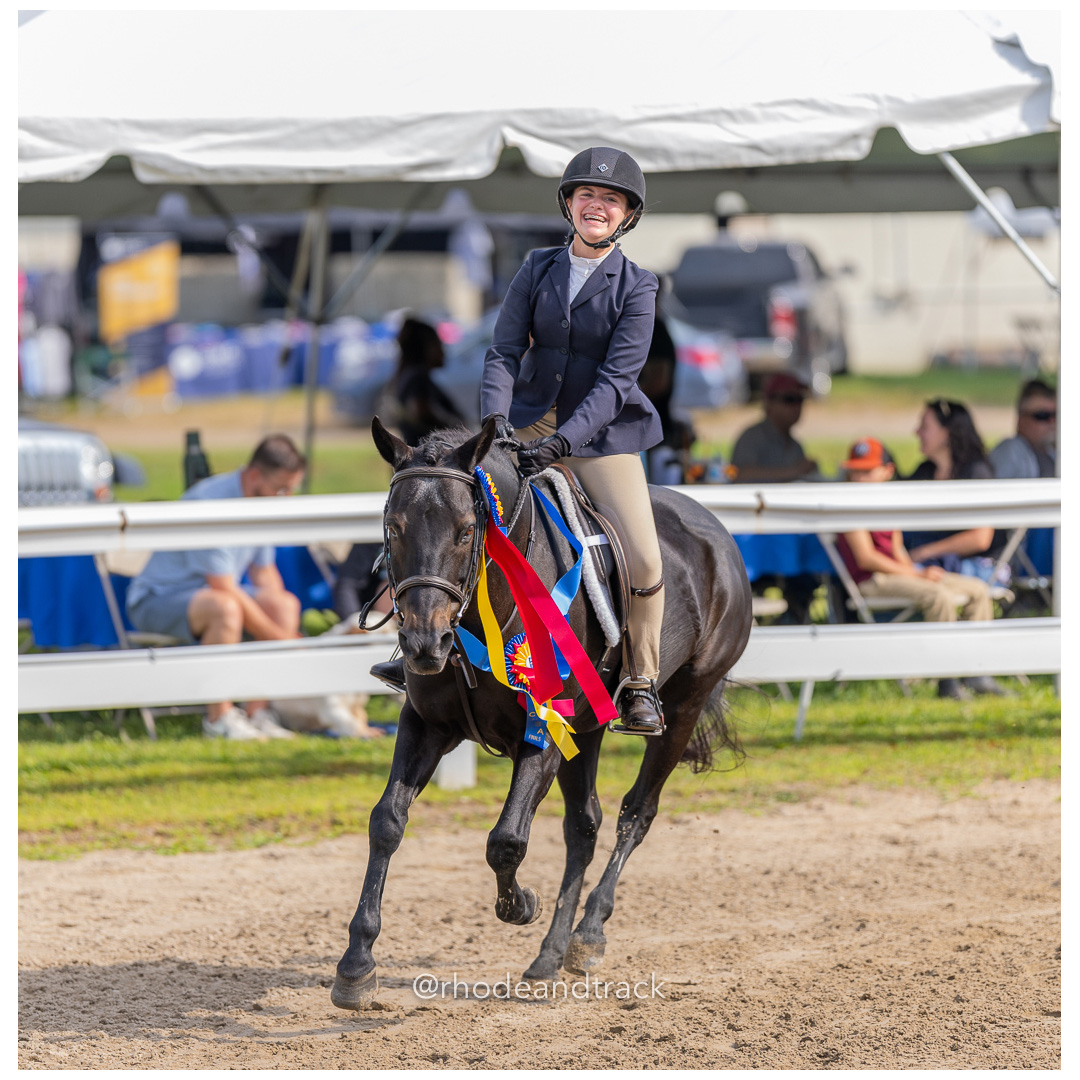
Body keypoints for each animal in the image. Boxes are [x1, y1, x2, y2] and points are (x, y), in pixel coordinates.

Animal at [331, 416, 753, 1010]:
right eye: (393, 529)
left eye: (467, 531)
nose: (423, 644)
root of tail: (715, 529)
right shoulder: (427, 725)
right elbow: (387, 821)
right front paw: (357, 963)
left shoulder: (545, 736)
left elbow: (506, 839)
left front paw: (518, 904)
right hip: (590, 730)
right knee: (585, 826)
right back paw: (552, 953)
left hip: (685, 705)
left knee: (636, 814)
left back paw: (588, 935)